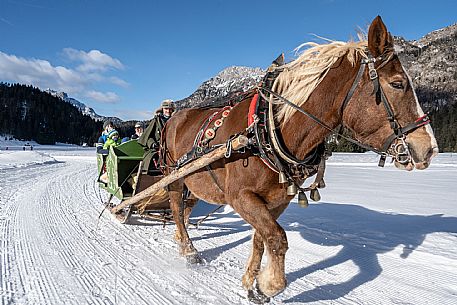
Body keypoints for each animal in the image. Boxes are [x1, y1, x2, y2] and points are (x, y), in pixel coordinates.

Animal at [160, 16, 438, 300]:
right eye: (397, 83)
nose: (428, 148)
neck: (267, 130)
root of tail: (174, 117)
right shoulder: (239, 196)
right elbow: (277, 238)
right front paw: (269, 285)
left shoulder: (277, 200)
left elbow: (262, 239)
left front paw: (252, 282)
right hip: (175, 177)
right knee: (176, 208)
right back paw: (188, 249)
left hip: (196, 181)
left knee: (186, 208)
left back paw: (181, 238)